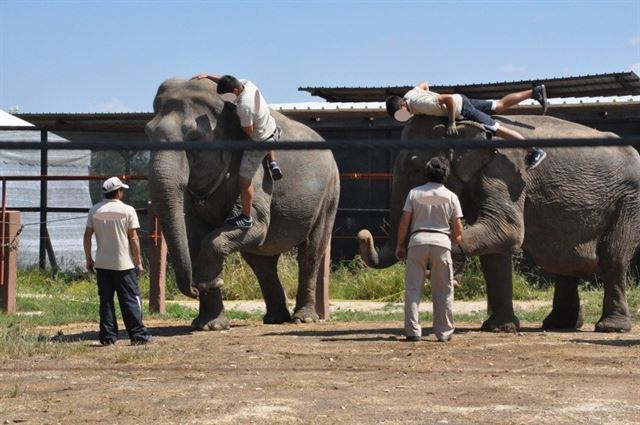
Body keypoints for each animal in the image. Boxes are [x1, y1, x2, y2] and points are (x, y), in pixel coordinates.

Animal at [146, 78, 340, 332]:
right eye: (147, 132)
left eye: (194, 137)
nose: (195, 288)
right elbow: (194, 235)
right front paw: (209, 325)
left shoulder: (256, 166)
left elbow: (253, 226)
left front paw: (210, 283)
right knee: (262, 262)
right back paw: (275, 318)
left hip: (329, 194)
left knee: (311, 252)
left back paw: (303, 319)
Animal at [360, 114, 640, 332]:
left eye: (417, 169)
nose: (364, 235)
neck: (463, 124)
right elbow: (496, 251)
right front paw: (499, 328)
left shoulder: (506, 171)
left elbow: (507, 230)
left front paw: (454, 273)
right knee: (566, 261)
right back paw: (558, 325)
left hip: (628, 201)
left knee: (613, 258)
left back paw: (610, 327)